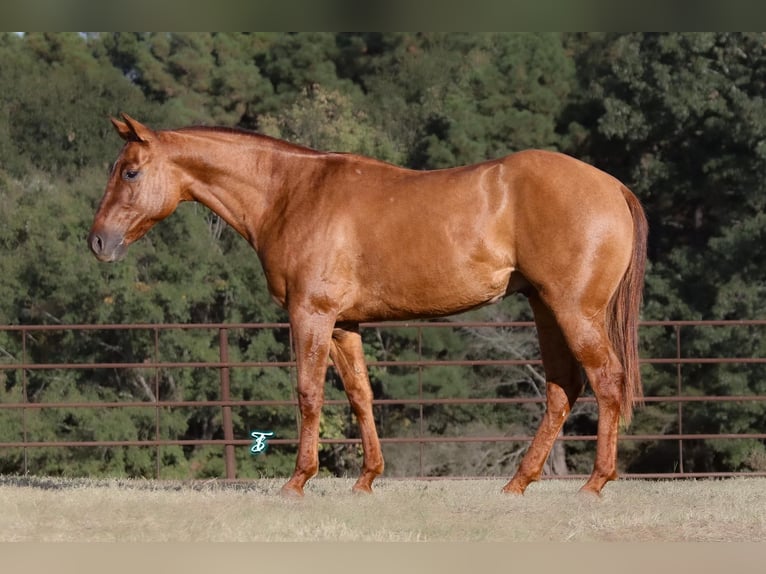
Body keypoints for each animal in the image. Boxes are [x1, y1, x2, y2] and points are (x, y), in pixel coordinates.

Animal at [90, 113, 648, 500]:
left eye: (131, 173)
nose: (97, 242)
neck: (290, 193)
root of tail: (612, 186)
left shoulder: (310, 315)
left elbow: (309, 394)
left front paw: (297, 482)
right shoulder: (345, 324)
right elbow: (361, 397)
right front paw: (366, 480)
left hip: (573, 310)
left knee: (605, 382)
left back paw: (594, 484)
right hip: (545, 308)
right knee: (562, 390)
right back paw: (517, 484)